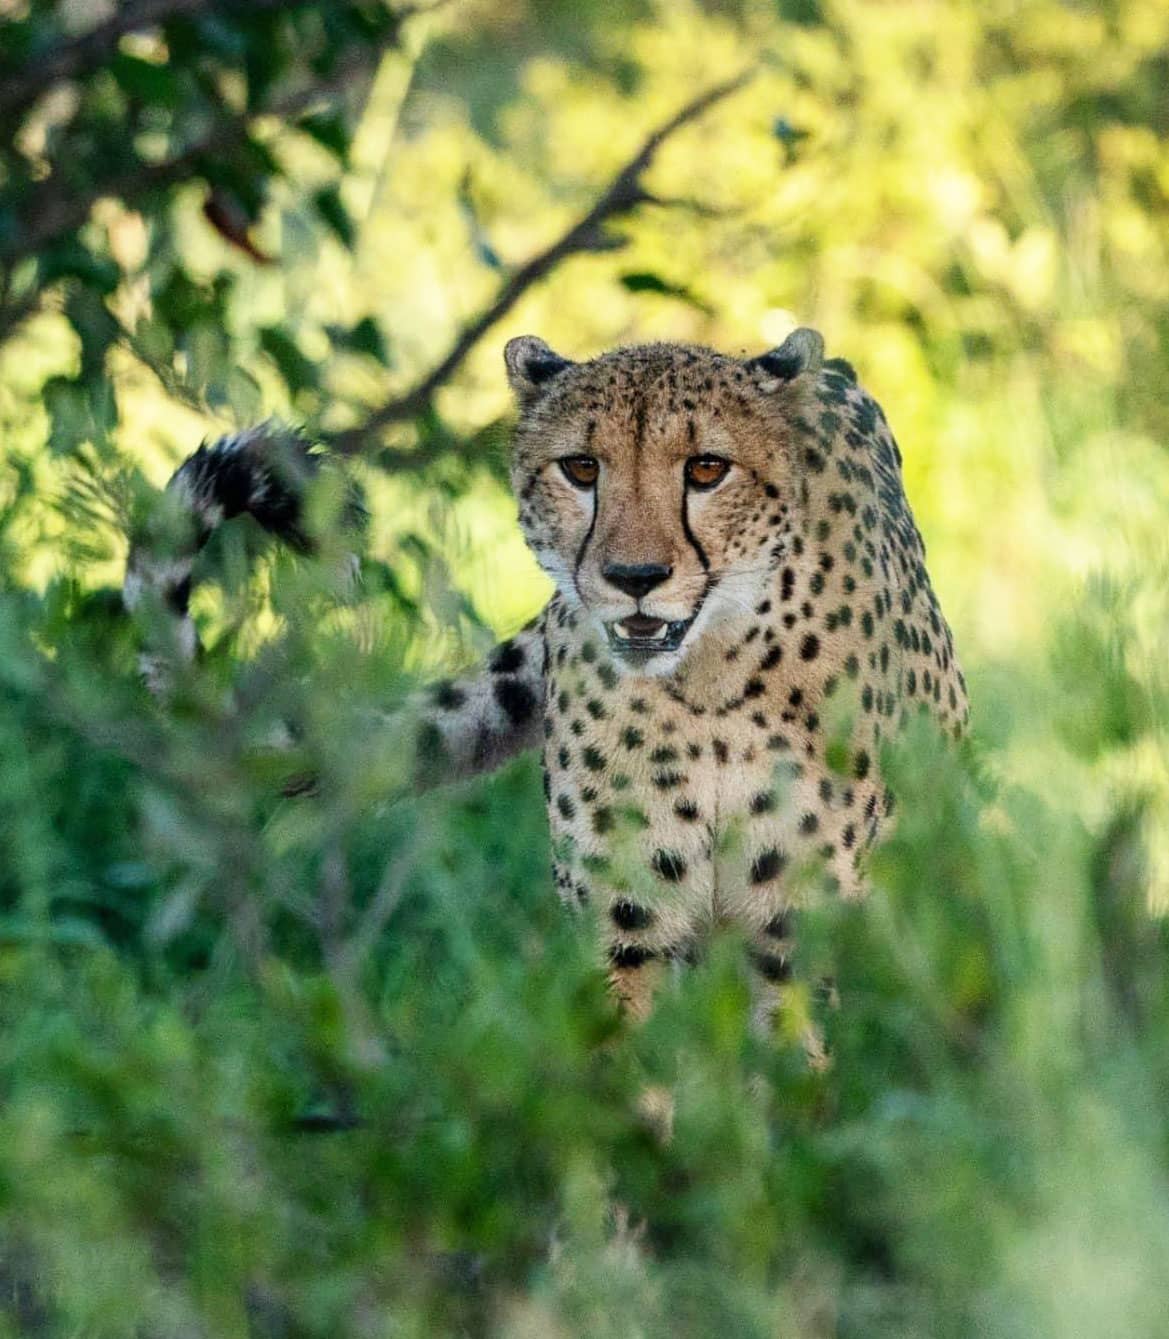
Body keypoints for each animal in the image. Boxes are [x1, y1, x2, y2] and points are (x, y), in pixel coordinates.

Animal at [127, 329, 969, 1017]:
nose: (634, 577)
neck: (707, 684)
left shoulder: (791, 934)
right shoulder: (626, 923)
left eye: (707, 468)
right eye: (580, 467)